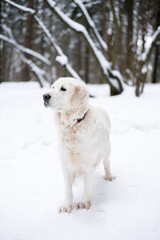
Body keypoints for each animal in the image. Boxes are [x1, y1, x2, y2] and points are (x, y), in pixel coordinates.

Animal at [43, 78, 114, 213]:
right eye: (53, 87)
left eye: (63, 89)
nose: (45, 96)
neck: (73, 125)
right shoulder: (65, 163)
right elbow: (68, 189)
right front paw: (66, 205)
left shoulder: (88, 164)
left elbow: (87, 187)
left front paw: (84, 203)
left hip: (106, 150)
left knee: (107, 163)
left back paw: (109, 176)